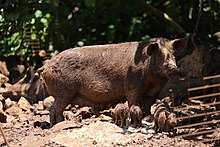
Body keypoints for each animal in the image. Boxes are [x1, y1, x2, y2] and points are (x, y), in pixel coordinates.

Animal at [37, 36, 187, 125]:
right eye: (160, 56)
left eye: (173, 54)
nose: (175, 69)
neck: (152, 79)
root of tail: (46, 66)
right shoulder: (132, 85)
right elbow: (133, 100)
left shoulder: (153, 92)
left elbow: (148, 104)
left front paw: (148, 118)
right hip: (64, 93)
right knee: (55, 108)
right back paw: (59, 124)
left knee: (55, 108)